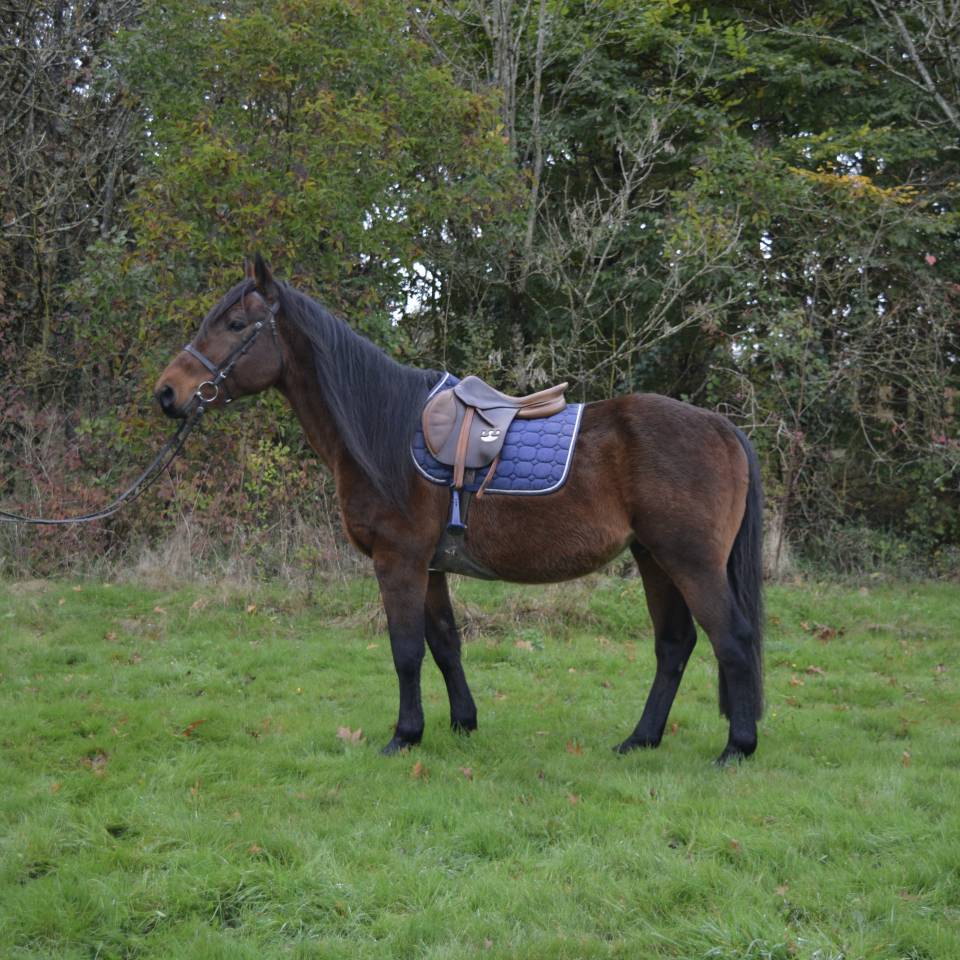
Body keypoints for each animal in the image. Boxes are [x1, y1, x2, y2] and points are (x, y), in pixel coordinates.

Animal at [154, 255, 764, 764]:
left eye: (236, 326)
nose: (167, 393)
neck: (385, 430)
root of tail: (723, 428)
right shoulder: (429, 567)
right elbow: (446, 644)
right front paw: (462, 723)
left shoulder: (397, 560)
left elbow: (405, 651)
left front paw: (404, 736)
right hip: (653, 558)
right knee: (675, 645)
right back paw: (640, 739)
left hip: (688, 560)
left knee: (731, 638)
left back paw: (737, 747)